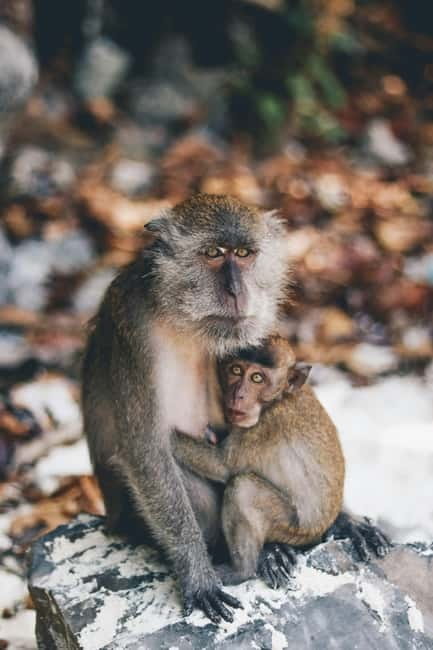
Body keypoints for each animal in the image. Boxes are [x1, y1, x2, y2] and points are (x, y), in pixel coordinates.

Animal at [81, 194, 292, 623]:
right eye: (213, 254)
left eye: (243, 254)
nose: (236, 290)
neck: (180, 319)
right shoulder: (131, 334)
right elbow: (146, 452)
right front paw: (198, 576)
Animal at [173, 335, 392, 586]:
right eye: (236, 370)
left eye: (257, 378)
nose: (238, 395)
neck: (278, 399)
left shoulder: (264, 426)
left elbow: (222, 465)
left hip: (294, 530)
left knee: (243, 487)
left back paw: (241, 571)